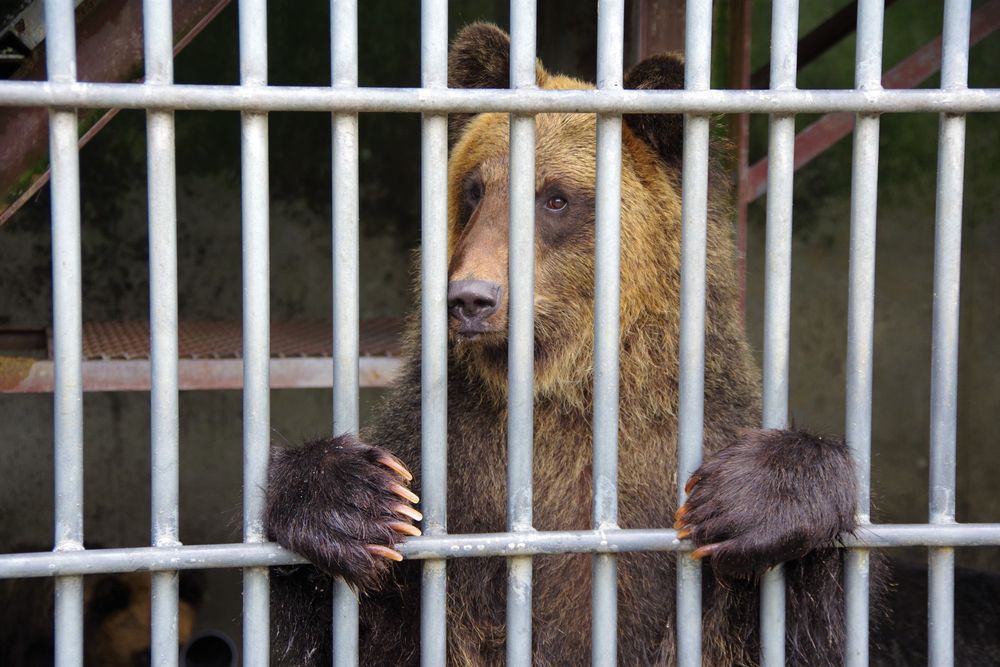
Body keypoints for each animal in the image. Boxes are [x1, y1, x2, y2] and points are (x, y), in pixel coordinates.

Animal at [264, 22, 1000, 667]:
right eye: (474, 189)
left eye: (556, 198)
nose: (471, 298)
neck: (570, 389)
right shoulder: (451, 475)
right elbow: (356, 618)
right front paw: (350, 498)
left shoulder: (689, 466)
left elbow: (802, 622)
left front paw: (756, 496)